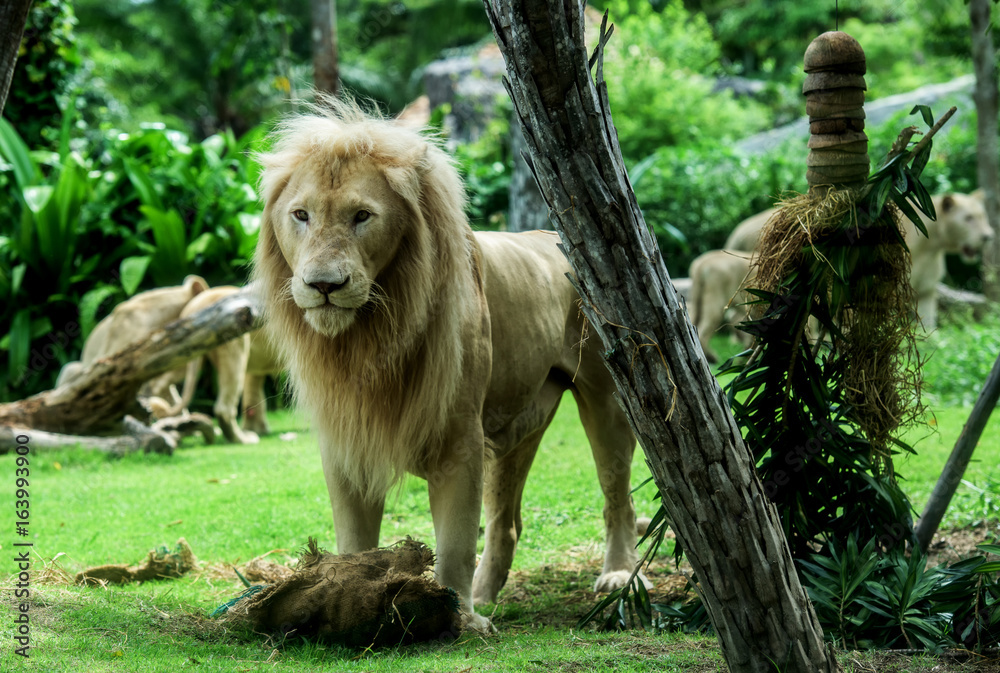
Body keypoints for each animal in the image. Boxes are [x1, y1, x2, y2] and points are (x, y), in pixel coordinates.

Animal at [247, 98, 644, 632]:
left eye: (362, 216)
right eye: (301, 215)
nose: (323, 285)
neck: (369, 340)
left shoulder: (460, 438)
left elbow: (455, 539)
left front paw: (461, 617)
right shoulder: (347, 440)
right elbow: (354, 540)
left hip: (606, 399)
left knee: (616, 495)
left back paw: (616, 575)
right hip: (519, 424)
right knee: (505, 524)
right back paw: (487, 593)